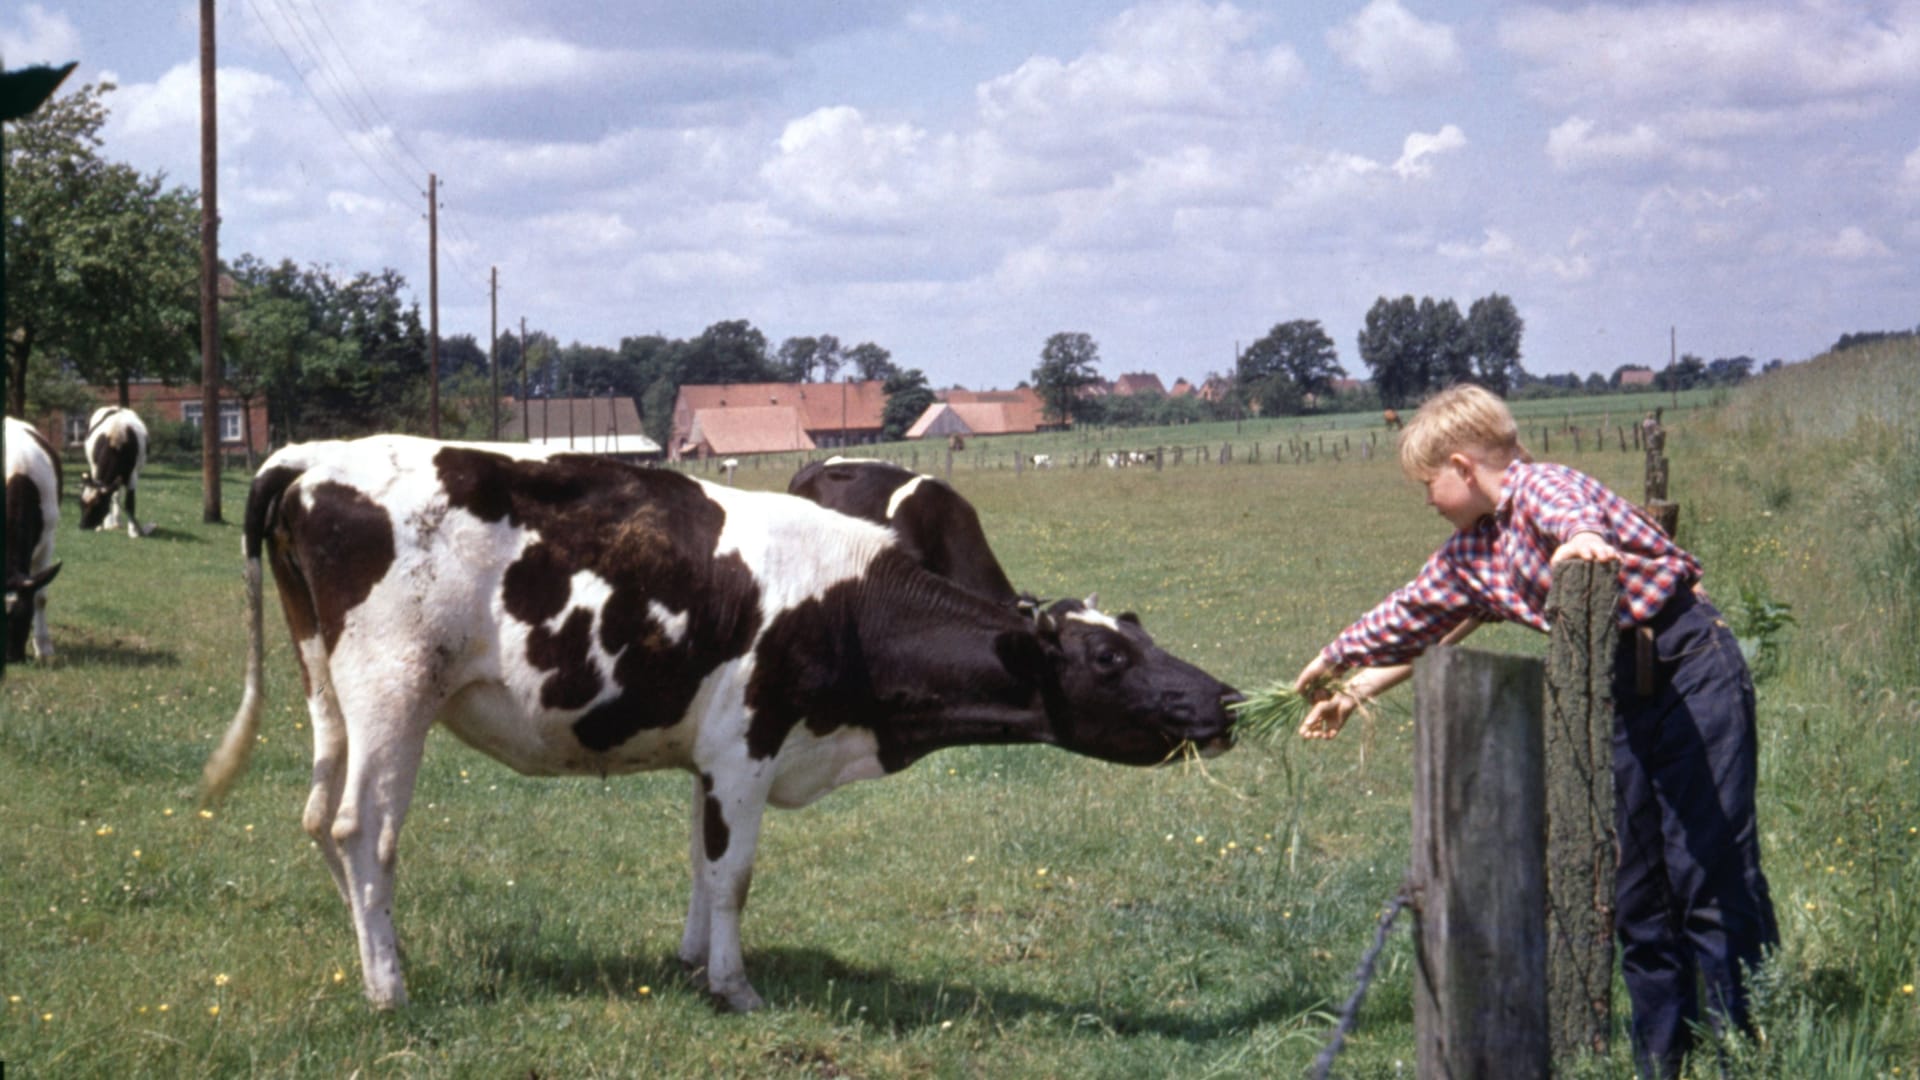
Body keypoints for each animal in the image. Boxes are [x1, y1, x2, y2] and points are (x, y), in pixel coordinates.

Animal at [79, 403, 150, 534]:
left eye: (98, 505)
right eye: (81, 503)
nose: (83, 526)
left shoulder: (132, 475)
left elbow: (129, 503)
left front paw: (133, 531)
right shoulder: (96, 470)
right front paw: (102, 525)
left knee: (117, 494)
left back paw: (117, 522)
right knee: (115, 495)